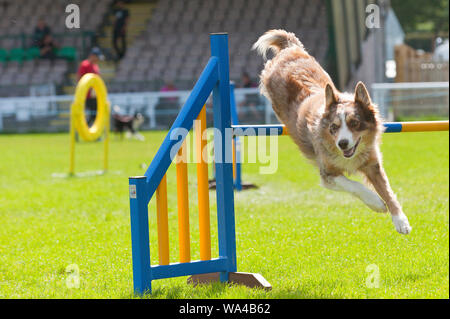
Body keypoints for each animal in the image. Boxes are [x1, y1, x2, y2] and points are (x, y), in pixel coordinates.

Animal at [253, 30, 412, 235]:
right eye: (333, 127)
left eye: (354, 123)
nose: (342, 143)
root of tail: (290, 48)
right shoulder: (327, 174)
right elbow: (353, 185)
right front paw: (376, 203)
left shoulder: (372, 164)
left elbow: (388, 190)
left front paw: (401, 220)